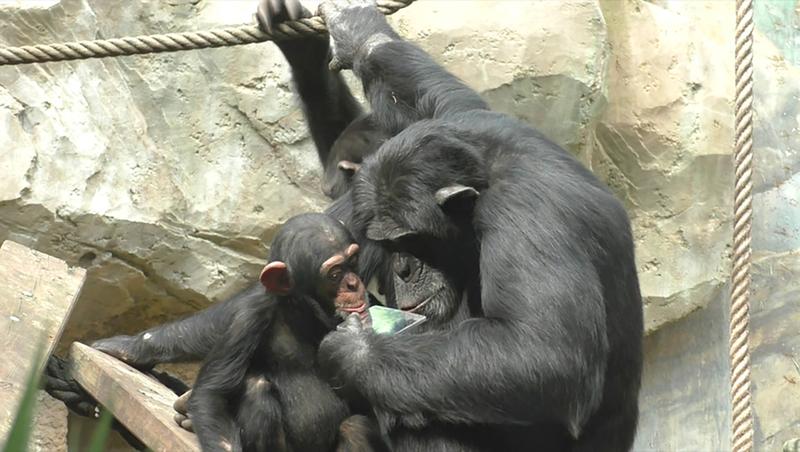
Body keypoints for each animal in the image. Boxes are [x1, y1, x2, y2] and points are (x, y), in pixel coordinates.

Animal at [188, 213, 388, 452]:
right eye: (335, 274)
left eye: (354, 261)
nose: (352, 284)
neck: (304, 312)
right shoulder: (247, 316)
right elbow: (213, 395)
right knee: (255, 388)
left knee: (355, 426)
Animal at [310, 0, 644, 452]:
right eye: (390, 243)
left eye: (411, 240)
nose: (402, 268)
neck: (484, 179)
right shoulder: (464, 120)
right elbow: (440, 97)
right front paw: (358, 32)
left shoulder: (527, 212)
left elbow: (544, 353)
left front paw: (354, 350)